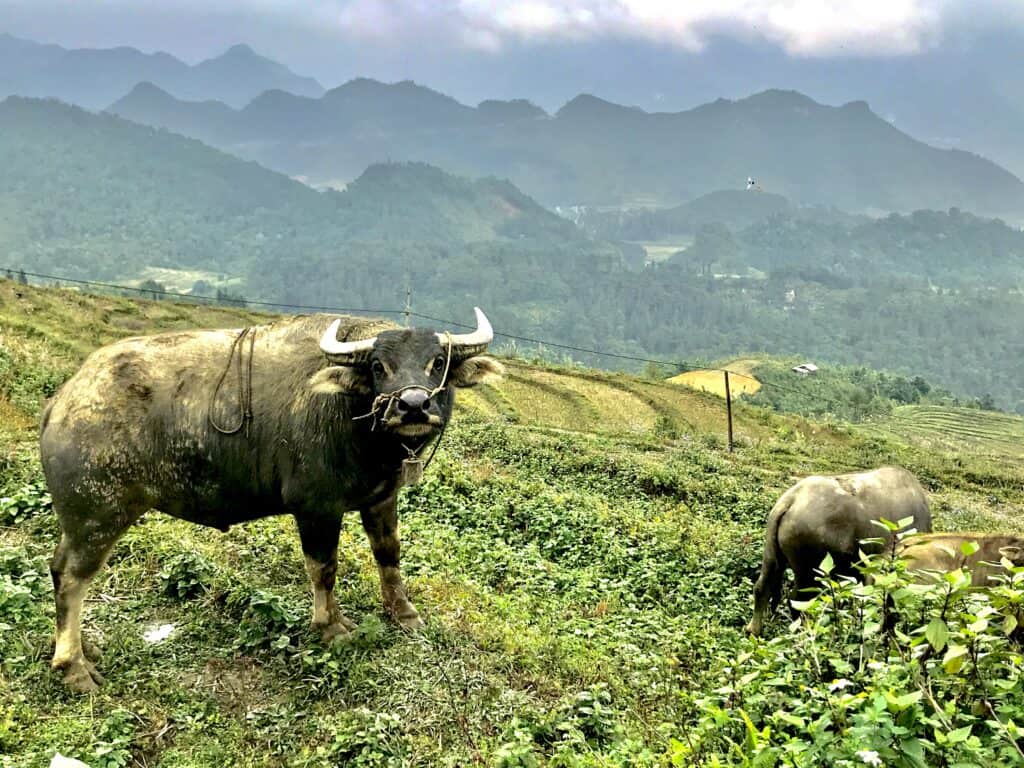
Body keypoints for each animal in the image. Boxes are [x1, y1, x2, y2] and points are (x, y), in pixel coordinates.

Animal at [40, 309, 501, 692]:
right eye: (377, 366)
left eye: (437, 362)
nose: (413, 405)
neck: (355, 424)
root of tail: (63, 400)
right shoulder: (316, 508)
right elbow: (324, 569)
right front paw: (331, 626)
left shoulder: (381, 500)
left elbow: (389, 555)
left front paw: (403, 613)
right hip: (97, 514)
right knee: (72, 578)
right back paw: (74, 667)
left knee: (58, 568)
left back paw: (84, 648)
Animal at [746, 466, 931, 636]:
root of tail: (791, 500)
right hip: (811, 571)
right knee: (798, 600)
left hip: (771, 554)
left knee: (762, 588)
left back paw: (753, 630)